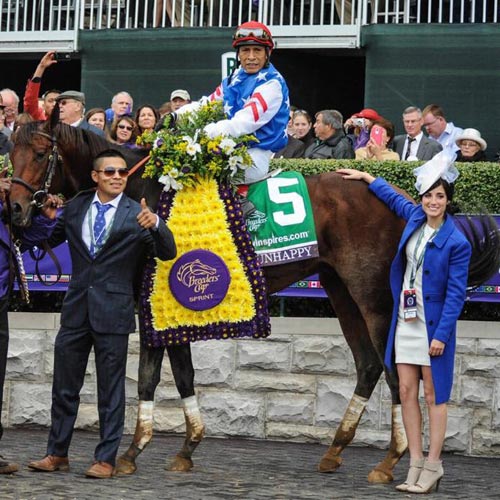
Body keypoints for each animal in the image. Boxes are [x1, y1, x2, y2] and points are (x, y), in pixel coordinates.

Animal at [7, 121, 496, 484]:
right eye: (11, 149)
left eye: (41, 152)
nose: (14, 208)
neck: (143, 191)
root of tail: (406, 203)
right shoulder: (171, 309)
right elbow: (182, 374)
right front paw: (187, 447)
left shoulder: (150, 302)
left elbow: (148, 375)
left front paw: (130, 452)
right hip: (339, 290)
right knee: (368, 363)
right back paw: (336, 449)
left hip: (373, 296)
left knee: (395, 368)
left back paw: (389, 460)